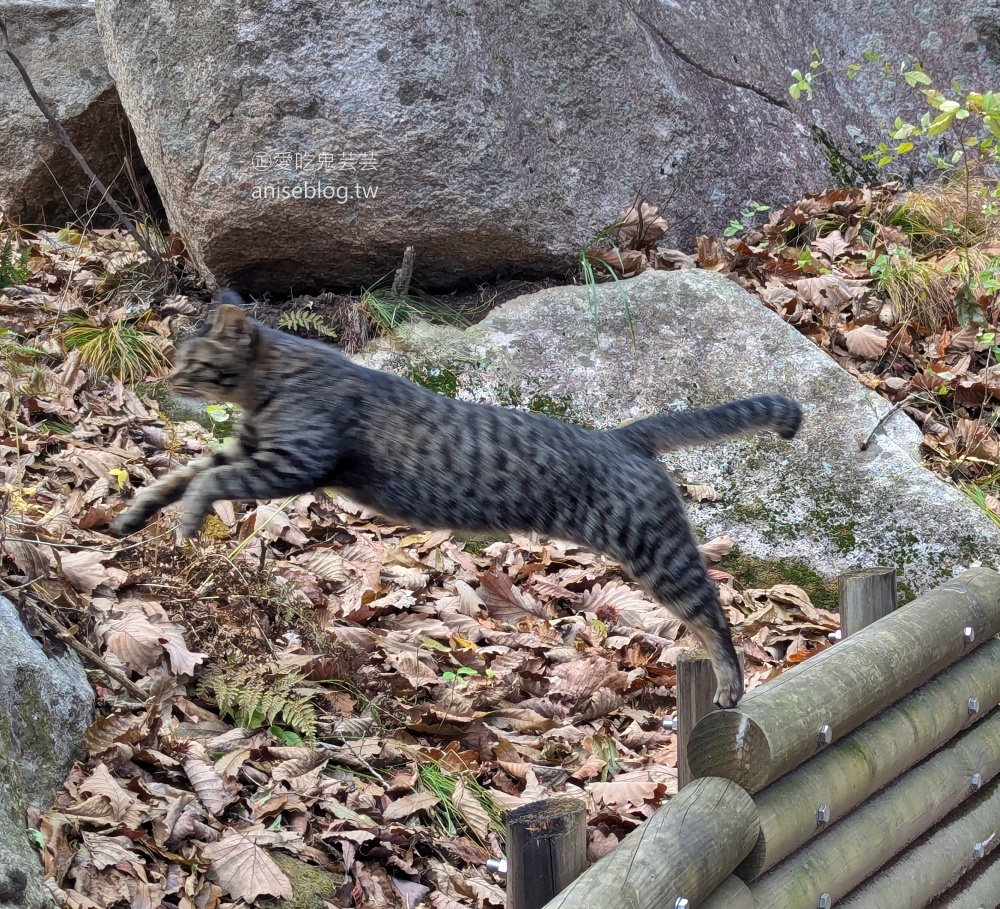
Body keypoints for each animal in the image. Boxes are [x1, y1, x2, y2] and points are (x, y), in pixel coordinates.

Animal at [113, 294, 804, 704]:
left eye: (194, 363)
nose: (168, 378)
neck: (272, 385)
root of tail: (622, 436)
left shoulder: (292, 461)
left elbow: (204, 483)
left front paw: (187, 523)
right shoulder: (242, 451)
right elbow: (177, 476)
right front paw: (134, 515)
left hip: (658, 556)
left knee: (715, 617)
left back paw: (731, 685)